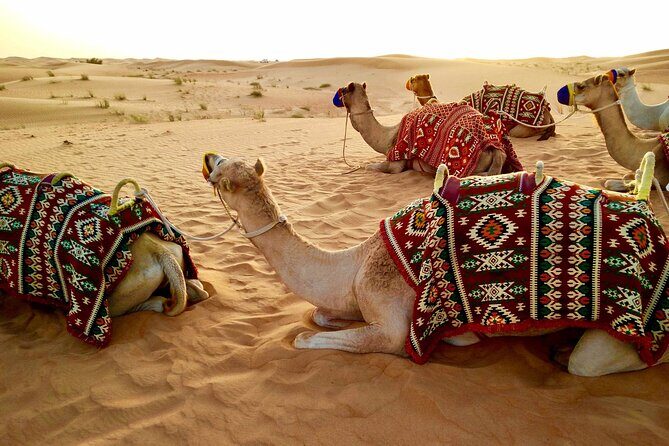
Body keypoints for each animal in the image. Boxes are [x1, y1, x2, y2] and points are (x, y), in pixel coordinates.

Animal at [202, 152, 669, 376]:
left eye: (222, 173)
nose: (208, 157)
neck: (355, 263)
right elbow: (319, 316)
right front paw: (462, 337)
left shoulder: (392, 324)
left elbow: (305, 337)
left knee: (599, 362)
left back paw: (565, 353)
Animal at [335, 82, 508, 176]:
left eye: (343, 90)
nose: (336, 98)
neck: (387, 137)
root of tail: (495, 148)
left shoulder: (396, 163)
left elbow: (368, 167)